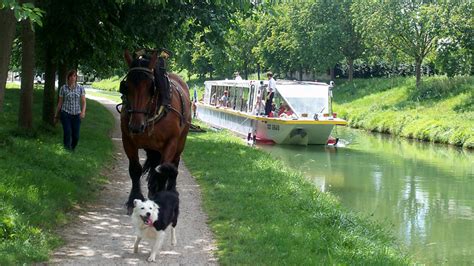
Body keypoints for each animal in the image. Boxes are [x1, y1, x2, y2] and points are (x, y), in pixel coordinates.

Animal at [120, 49, 191, 212]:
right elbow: (135, 169)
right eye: (126, 86)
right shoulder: (127, 140)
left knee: (174, 164)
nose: (135, 126)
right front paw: (134, 197)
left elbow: (163, 171)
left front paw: (160, 195)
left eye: (151, 87)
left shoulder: (171, 143)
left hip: (180, 142)